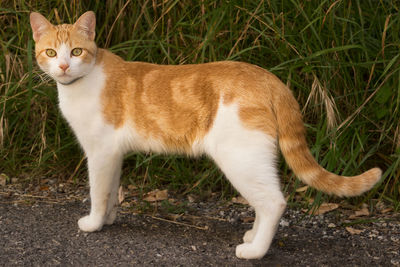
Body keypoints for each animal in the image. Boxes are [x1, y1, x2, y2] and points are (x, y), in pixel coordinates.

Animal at [30, 11, 382, 260]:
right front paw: (108, 220)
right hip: (253, 161)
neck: (81, 84)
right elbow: (112, 192)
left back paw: (254, 252)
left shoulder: (99, 151)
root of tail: (269, 78)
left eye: (76, 51)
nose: (63, 67)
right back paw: (252, 237)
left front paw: (93, 223)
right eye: (51, 52)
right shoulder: (114, 154)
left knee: (273, 202)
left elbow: (97, 192)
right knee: (264, 200)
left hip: (239, 158)